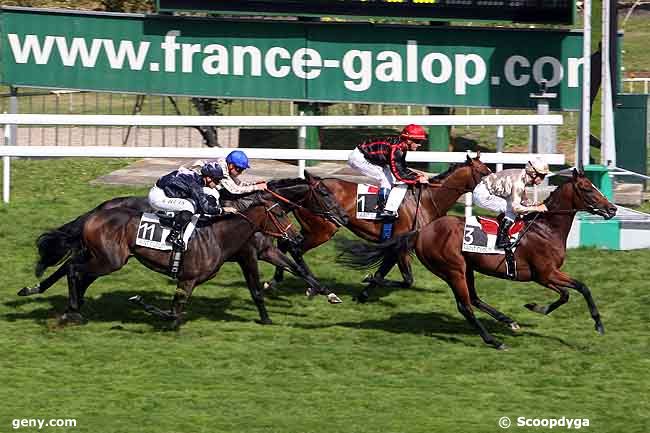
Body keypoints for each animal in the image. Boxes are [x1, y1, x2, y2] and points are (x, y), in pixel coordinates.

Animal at [270, 153, 488, 300]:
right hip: (323, 230)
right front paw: (367, 280)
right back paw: (315, 287)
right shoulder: (402, 246)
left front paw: (364, 293)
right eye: (485, 173)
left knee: (285, 244)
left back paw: (276, 279)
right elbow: (406, 279)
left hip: (310, 228)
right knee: (296, 249)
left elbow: (385, 272)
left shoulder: (396, 245)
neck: (427, 201)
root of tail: (307, 185)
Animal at [336, 167, 616, 350]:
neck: (546, 228)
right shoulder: (544, 274)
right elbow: (575, 290)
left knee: (473, 298)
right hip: (453, 269)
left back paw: (508, 321)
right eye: (587, 189)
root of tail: (421, 231)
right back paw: (494, 340)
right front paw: (591, 322)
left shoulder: (548, 275)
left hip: (467, 267)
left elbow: (577, 290)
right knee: (465, 306)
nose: (612, 209)